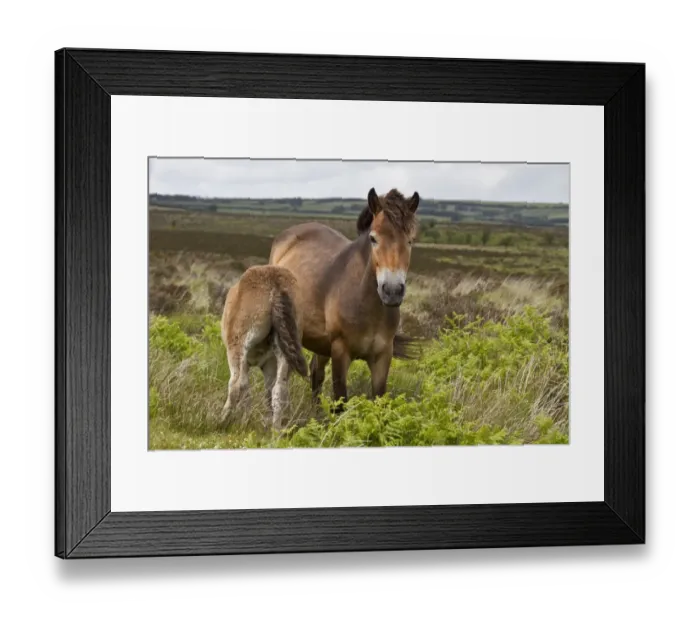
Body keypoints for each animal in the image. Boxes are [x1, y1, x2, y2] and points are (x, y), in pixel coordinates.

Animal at [214, 265, 308, 431]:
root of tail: (275, 282)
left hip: (237, 346)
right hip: (284, 352)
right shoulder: (269, 365)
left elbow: (244, 386)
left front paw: (244, 422)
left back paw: (221, 420)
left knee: (235, 384)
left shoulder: (245, 361)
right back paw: (276, 431)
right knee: (279, 389)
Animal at [269, 187, 420, 409]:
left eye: (410, 240)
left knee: (316, 373)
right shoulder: (341, 352)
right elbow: (340, 403)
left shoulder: (383, 356)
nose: (392, 291)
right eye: (373, 238)